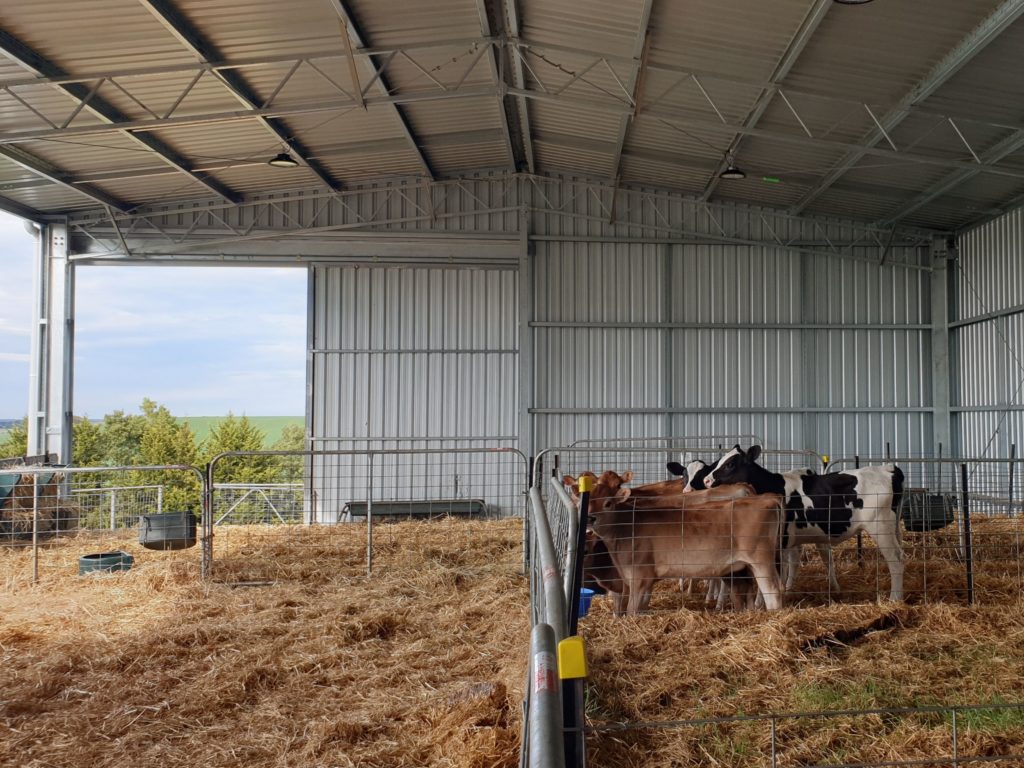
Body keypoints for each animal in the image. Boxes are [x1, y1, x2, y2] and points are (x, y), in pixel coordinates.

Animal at [704, 448, 905, 606]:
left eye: (730, 464)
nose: (706, 480)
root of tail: (888, 469)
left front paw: (760, 604)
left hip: (880, 527)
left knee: (895, 560)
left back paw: (895, 598)